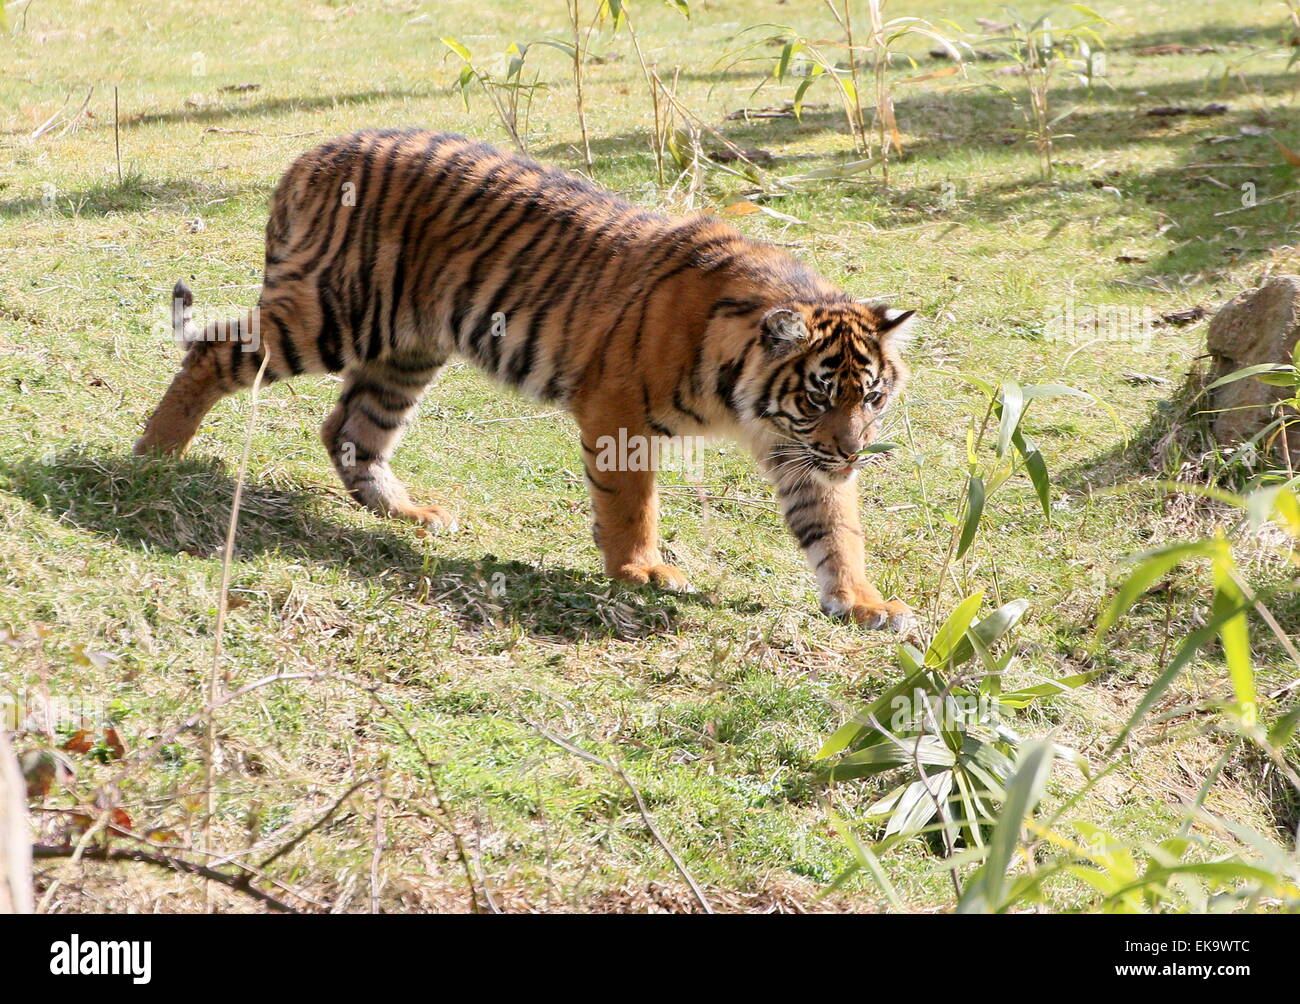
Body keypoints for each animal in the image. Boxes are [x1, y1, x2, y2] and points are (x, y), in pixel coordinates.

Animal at [134, 125, 915, 626]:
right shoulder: (619, 412)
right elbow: (632, 502)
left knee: (350, 424)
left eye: (871, 398)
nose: (852, 453)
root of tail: (311, 154)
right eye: (818, 395)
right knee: (213, 352)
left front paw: (865, 604)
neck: (748, 398)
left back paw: (408, 513)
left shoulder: (799, 454)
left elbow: (833, 530)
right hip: (330, 314)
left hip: (407, 348)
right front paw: (641, 570)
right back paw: (154, 455)